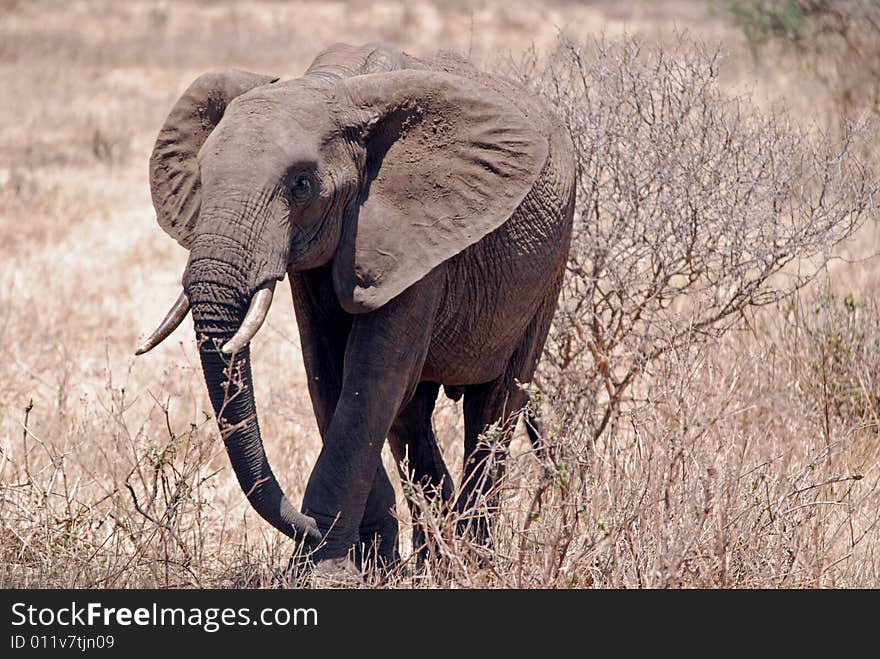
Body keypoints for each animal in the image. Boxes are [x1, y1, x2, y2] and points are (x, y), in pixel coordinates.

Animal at [136, 42, 576, 568]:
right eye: (202, 176)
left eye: (302, 185)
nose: (305, 528)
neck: (332, 88)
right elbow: (327, 370)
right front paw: (363, 561)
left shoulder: (415, 231)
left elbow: (372, 377)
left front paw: (326, 567)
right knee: (411, 418)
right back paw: (433, 556)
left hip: (548, 267)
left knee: (495, 405)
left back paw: (472, 560)